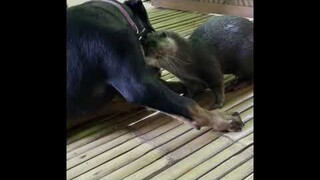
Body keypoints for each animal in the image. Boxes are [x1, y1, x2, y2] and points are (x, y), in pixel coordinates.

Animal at [67, 0, 242, 131]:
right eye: (147, 36)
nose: (157, 70)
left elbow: (179, 87)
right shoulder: (139, 85)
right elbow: (187, 104)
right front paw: (223, 119)